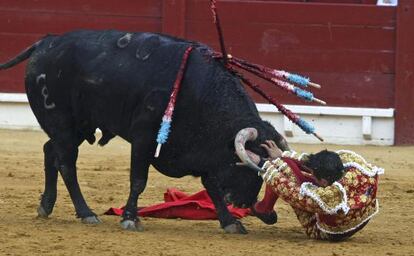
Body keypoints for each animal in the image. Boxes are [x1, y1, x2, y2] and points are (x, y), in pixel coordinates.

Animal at [0, 30, 290, 234]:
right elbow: (139, 179)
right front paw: (130, 218)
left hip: (77, 127)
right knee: (66, 164)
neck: (200, 92)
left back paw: (46, 206)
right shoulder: (144, 137)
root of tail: (45, 43)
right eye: (244, 164)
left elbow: (212, 187)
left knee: (50, 151)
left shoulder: (204, 150)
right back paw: (86, 213)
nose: (246, 204)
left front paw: (230, 222)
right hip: (62, 122)